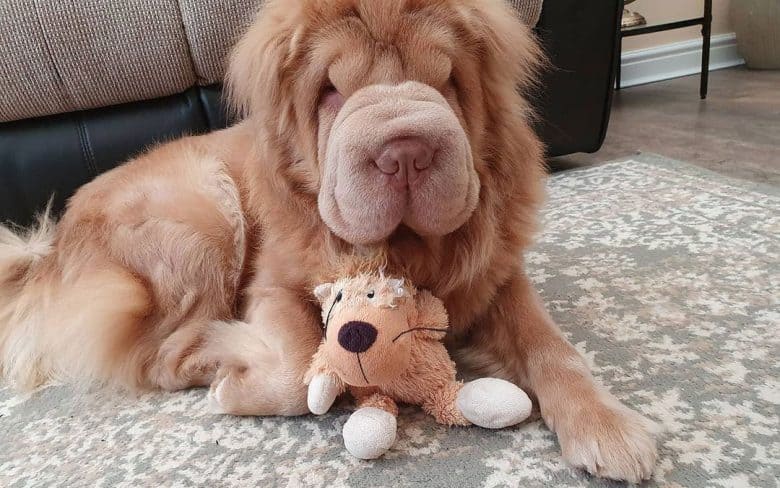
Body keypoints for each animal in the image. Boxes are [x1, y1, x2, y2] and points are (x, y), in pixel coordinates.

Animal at [0, 0, 660, 480]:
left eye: (445, 81)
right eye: (332, 91)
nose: (406, 151)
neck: (406, 252)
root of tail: (50, 247)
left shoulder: (496, 278)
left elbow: (554, 348)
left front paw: (609, 427)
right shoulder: (271, 286)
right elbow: (296, 372)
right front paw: (240, 386)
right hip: (205, 215)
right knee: (163, 354)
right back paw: (217, 355)